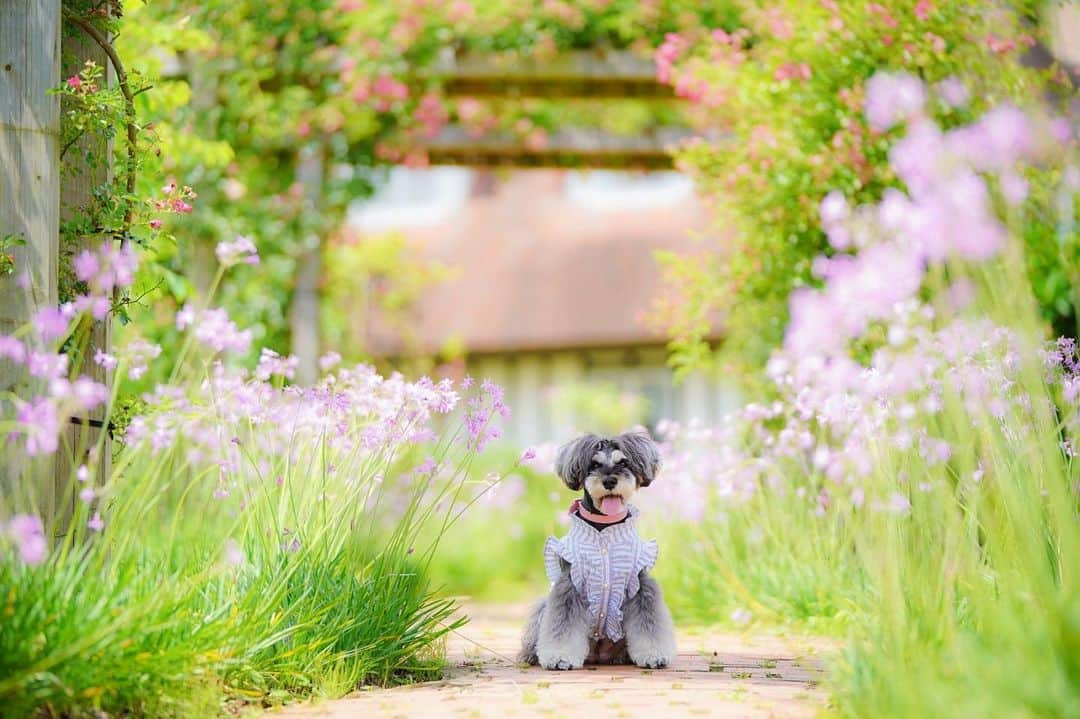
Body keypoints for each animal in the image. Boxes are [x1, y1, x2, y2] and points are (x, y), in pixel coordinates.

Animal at [520, 427, 673, 669]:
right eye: (593, 465)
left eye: (624, 463)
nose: (609, 480)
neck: (604, 526)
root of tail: (599, 655)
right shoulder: (569, 584)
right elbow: (562, 625)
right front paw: (560, 656)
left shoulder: (641, 584)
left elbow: (649, 622)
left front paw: (654, 654)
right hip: (543, 609)